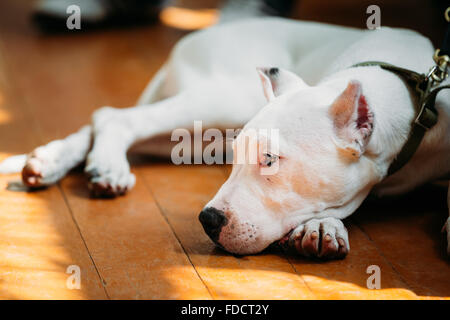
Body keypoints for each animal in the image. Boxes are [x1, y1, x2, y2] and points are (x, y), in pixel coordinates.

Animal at [0, 15, 450, 260]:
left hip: (198, 136)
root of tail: (190, 39)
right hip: (225, 101)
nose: (208, 220)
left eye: (270, 160)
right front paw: (324, 225)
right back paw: (104, 166)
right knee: (114, 117)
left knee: (105, 122)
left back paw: (53, 161)